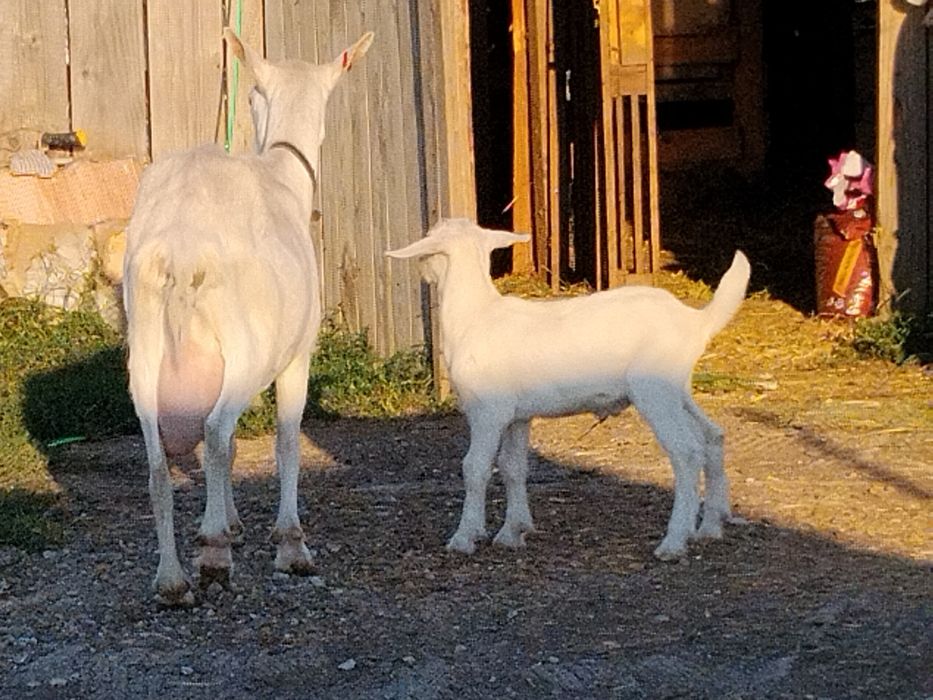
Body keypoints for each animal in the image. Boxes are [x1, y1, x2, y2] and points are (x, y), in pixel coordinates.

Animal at [123, 29, 373, 605]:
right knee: (215, 433)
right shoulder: (297, 355)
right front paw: (290, 545)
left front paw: (232, 523)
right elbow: (286, 442)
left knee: (158, 466)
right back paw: (214, 555)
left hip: (143, 357)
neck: (282, 171)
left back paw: (172, 579)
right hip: (245, 351)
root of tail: (180, 250)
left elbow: (239, 446)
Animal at [386, 219, 751, 561]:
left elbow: (475, 467)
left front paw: (465, 537)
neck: (475, 316)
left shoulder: (488, 411)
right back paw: (709, 526)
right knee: (712, 436)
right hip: (677, 389)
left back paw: (674, 541)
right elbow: (513, 467)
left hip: (654, 391)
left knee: (687, 452)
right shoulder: (517, 416)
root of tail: (696, 322)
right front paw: (513, 531)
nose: (422, 272)